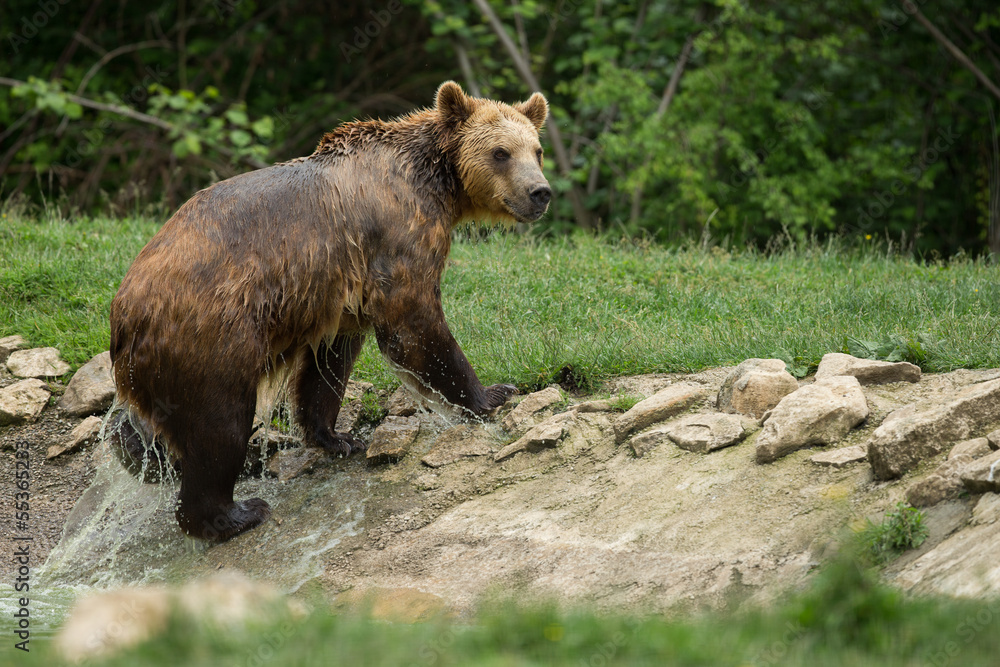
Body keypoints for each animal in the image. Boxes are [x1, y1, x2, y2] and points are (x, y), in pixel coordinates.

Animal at [111, 82, 556, 544]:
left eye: (537, 150)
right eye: (501, 152)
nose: (539, 192)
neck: (438, 184)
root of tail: (124, 314)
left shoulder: (339, 289)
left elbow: (328, 364)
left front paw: (337, 437)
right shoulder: (398, 236)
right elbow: (415, 322)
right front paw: (491, 394)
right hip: (212, 331)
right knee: (219, 424)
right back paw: (235, 512)